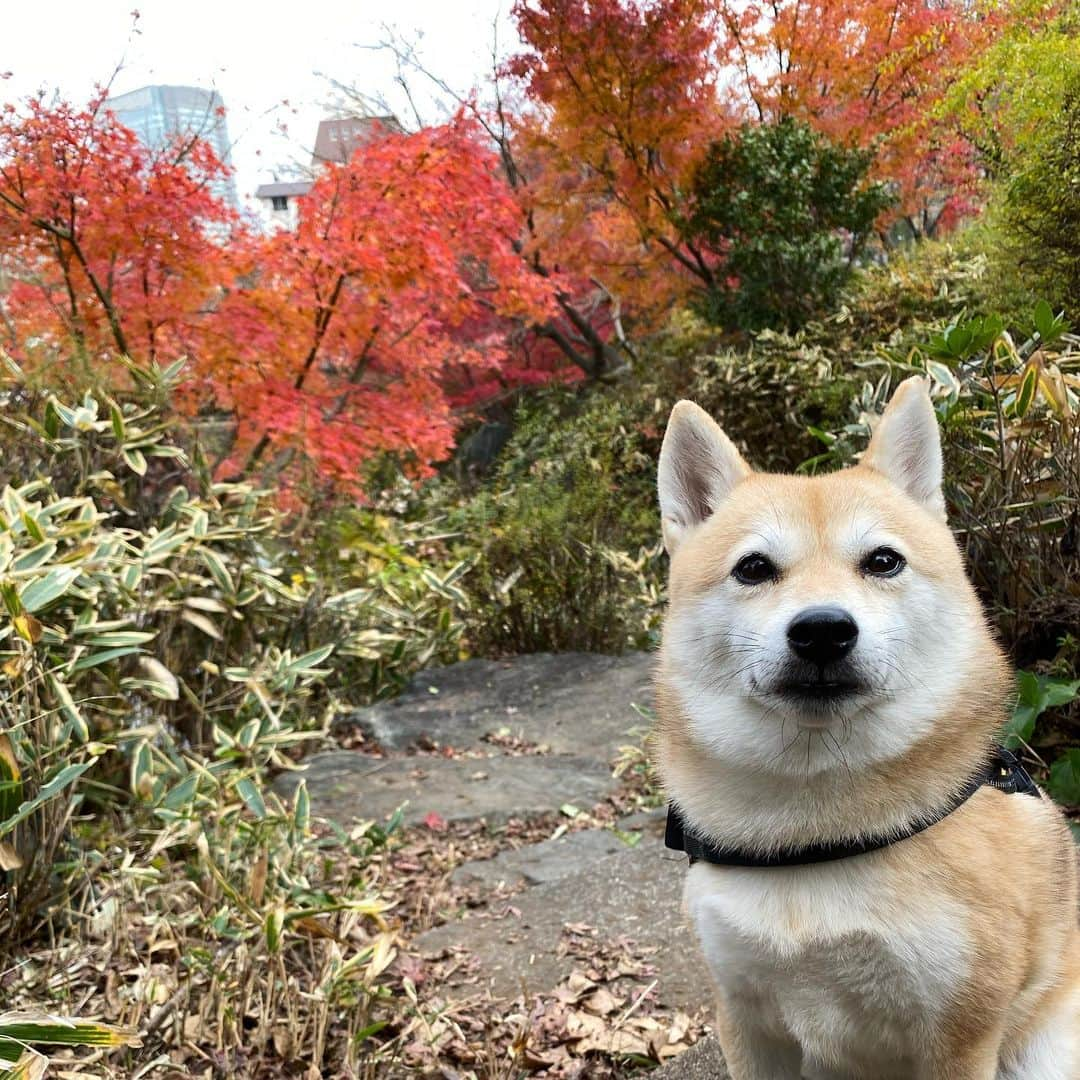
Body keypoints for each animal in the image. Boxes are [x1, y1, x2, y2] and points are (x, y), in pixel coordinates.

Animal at [652, 375, 1075, 1075]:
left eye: (882, 561)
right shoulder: (745, 1020)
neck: (818, 836)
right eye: (753, 568)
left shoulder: (960, 1035)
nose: (823, 629)